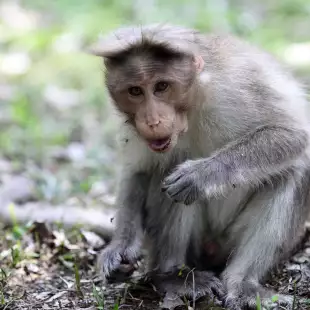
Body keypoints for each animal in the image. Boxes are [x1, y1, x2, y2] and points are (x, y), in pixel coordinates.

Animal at [88, 24, 310, 310]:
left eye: (161, 86)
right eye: (135, 91)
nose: (152, 120)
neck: (195, 101)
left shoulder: (238, 87)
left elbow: (292, 134)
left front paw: (201, 176)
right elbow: (138, 171)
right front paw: (120, 248)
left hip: (232, 242)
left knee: (295, 170)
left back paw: (243, 283)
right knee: (167, 168)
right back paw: (172, 276)